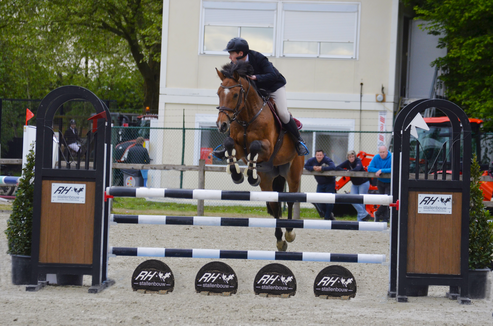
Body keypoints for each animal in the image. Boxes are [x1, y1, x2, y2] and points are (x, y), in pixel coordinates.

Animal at [214, 61, 304, 251]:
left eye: (235, 94)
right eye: (218, 93)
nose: (221, 125)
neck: (247, 116)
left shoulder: (268, 147)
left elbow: (255, 146)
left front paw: (249, 175)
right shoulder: (240, 148)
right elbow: (229, 144)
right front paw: (238, 175)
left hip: (293, 174)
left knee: (290, 200)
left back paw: (289, 233)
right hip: (268, 179)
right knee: (275, 205)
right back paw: (280, 240)